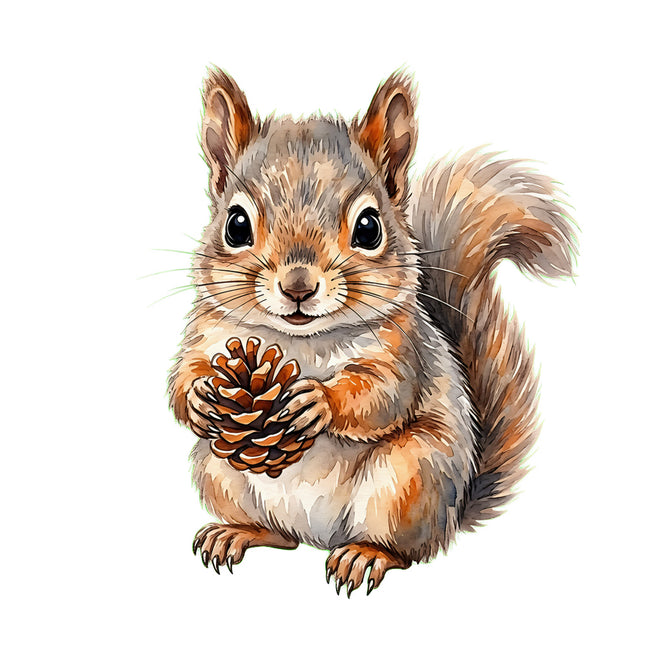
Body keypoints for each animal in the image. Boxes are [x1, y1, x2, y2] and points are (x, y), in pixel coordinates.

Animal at [167, 67, 577, 596]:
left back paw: (365, 555)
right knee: (278, 535)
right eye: (236, 225)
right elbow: (181, 380)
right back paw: (237, 532)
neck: (298, 343)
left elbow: (383, 396)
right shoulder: (208, 332)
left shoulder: (403, 352)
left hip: (407, 482)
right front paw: (199, 396)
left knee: (407, 551)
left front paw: (319, 401)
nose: (298, 286)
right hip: (219, 471)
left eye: (369, 228)